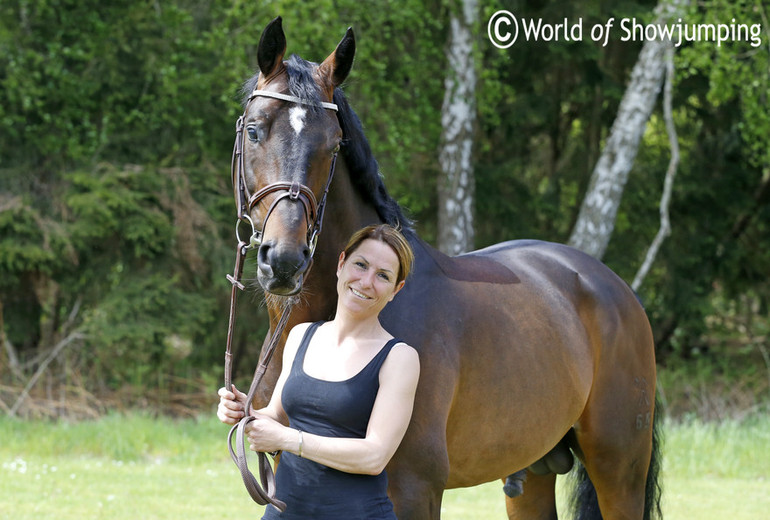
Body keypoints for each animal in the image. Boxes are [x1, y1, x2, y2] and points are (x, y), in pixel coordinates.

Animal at [232, 17, 660, 520]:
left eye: (333, 144)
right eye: (254, 131)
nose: (284, 260)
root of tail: (614, 288)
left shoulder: (415, 490)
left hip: (618, 471)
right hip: (533, 473)